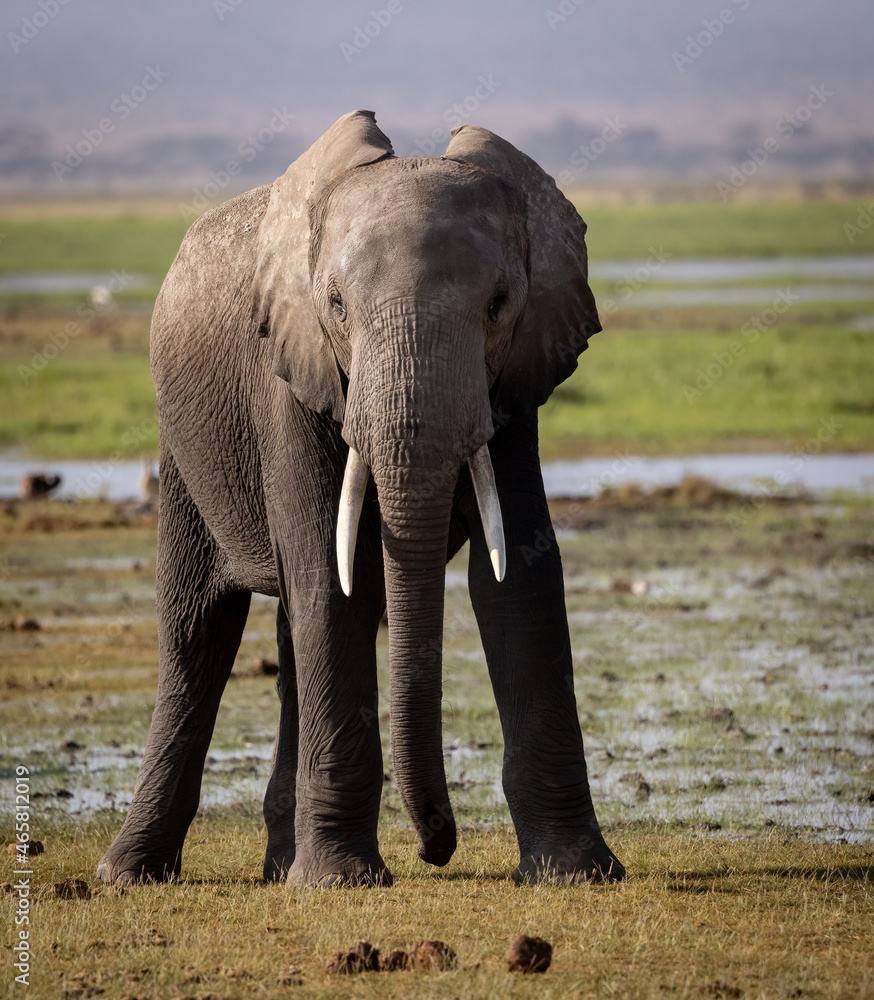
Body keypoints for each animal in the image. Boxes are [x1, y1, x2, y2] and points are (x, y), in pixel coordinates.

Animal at [97, 110, 624, 888]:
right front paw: (340, 882)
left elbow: (519, 573)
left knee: (290, 633)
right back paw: (132, 872)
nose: (439, 845)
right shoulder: (288, 374)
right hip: (183, 449)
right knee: (199, 631)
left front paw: (575, 873)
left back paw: (280, 865)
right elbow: (329, 576)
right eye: (337, 306)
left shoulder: (512, 384)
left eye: (499, 306)